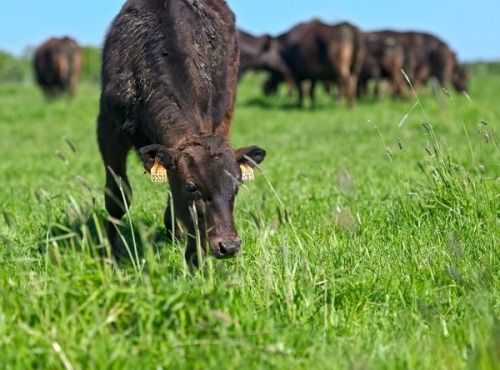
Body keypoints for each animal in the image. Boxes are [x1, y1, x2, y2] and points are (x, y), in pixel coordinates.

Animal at [97, 0, 266, 266]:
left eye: (237, 187)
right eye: (191, 187)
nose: (228, 246)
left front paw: (195, 257)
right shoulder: (108, 130)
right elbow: (117, 195)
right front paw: (112, 256)